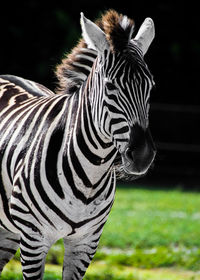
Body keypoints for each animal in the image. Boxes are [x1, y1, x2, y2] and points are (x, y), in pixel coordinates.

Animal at [0, 9, 156, 280]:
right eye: (110, 86)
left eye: (150, 85)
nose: (142, 155)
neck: (89, 177)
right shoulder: (33, 239)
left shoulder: (86, 243)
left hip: (8, 229)